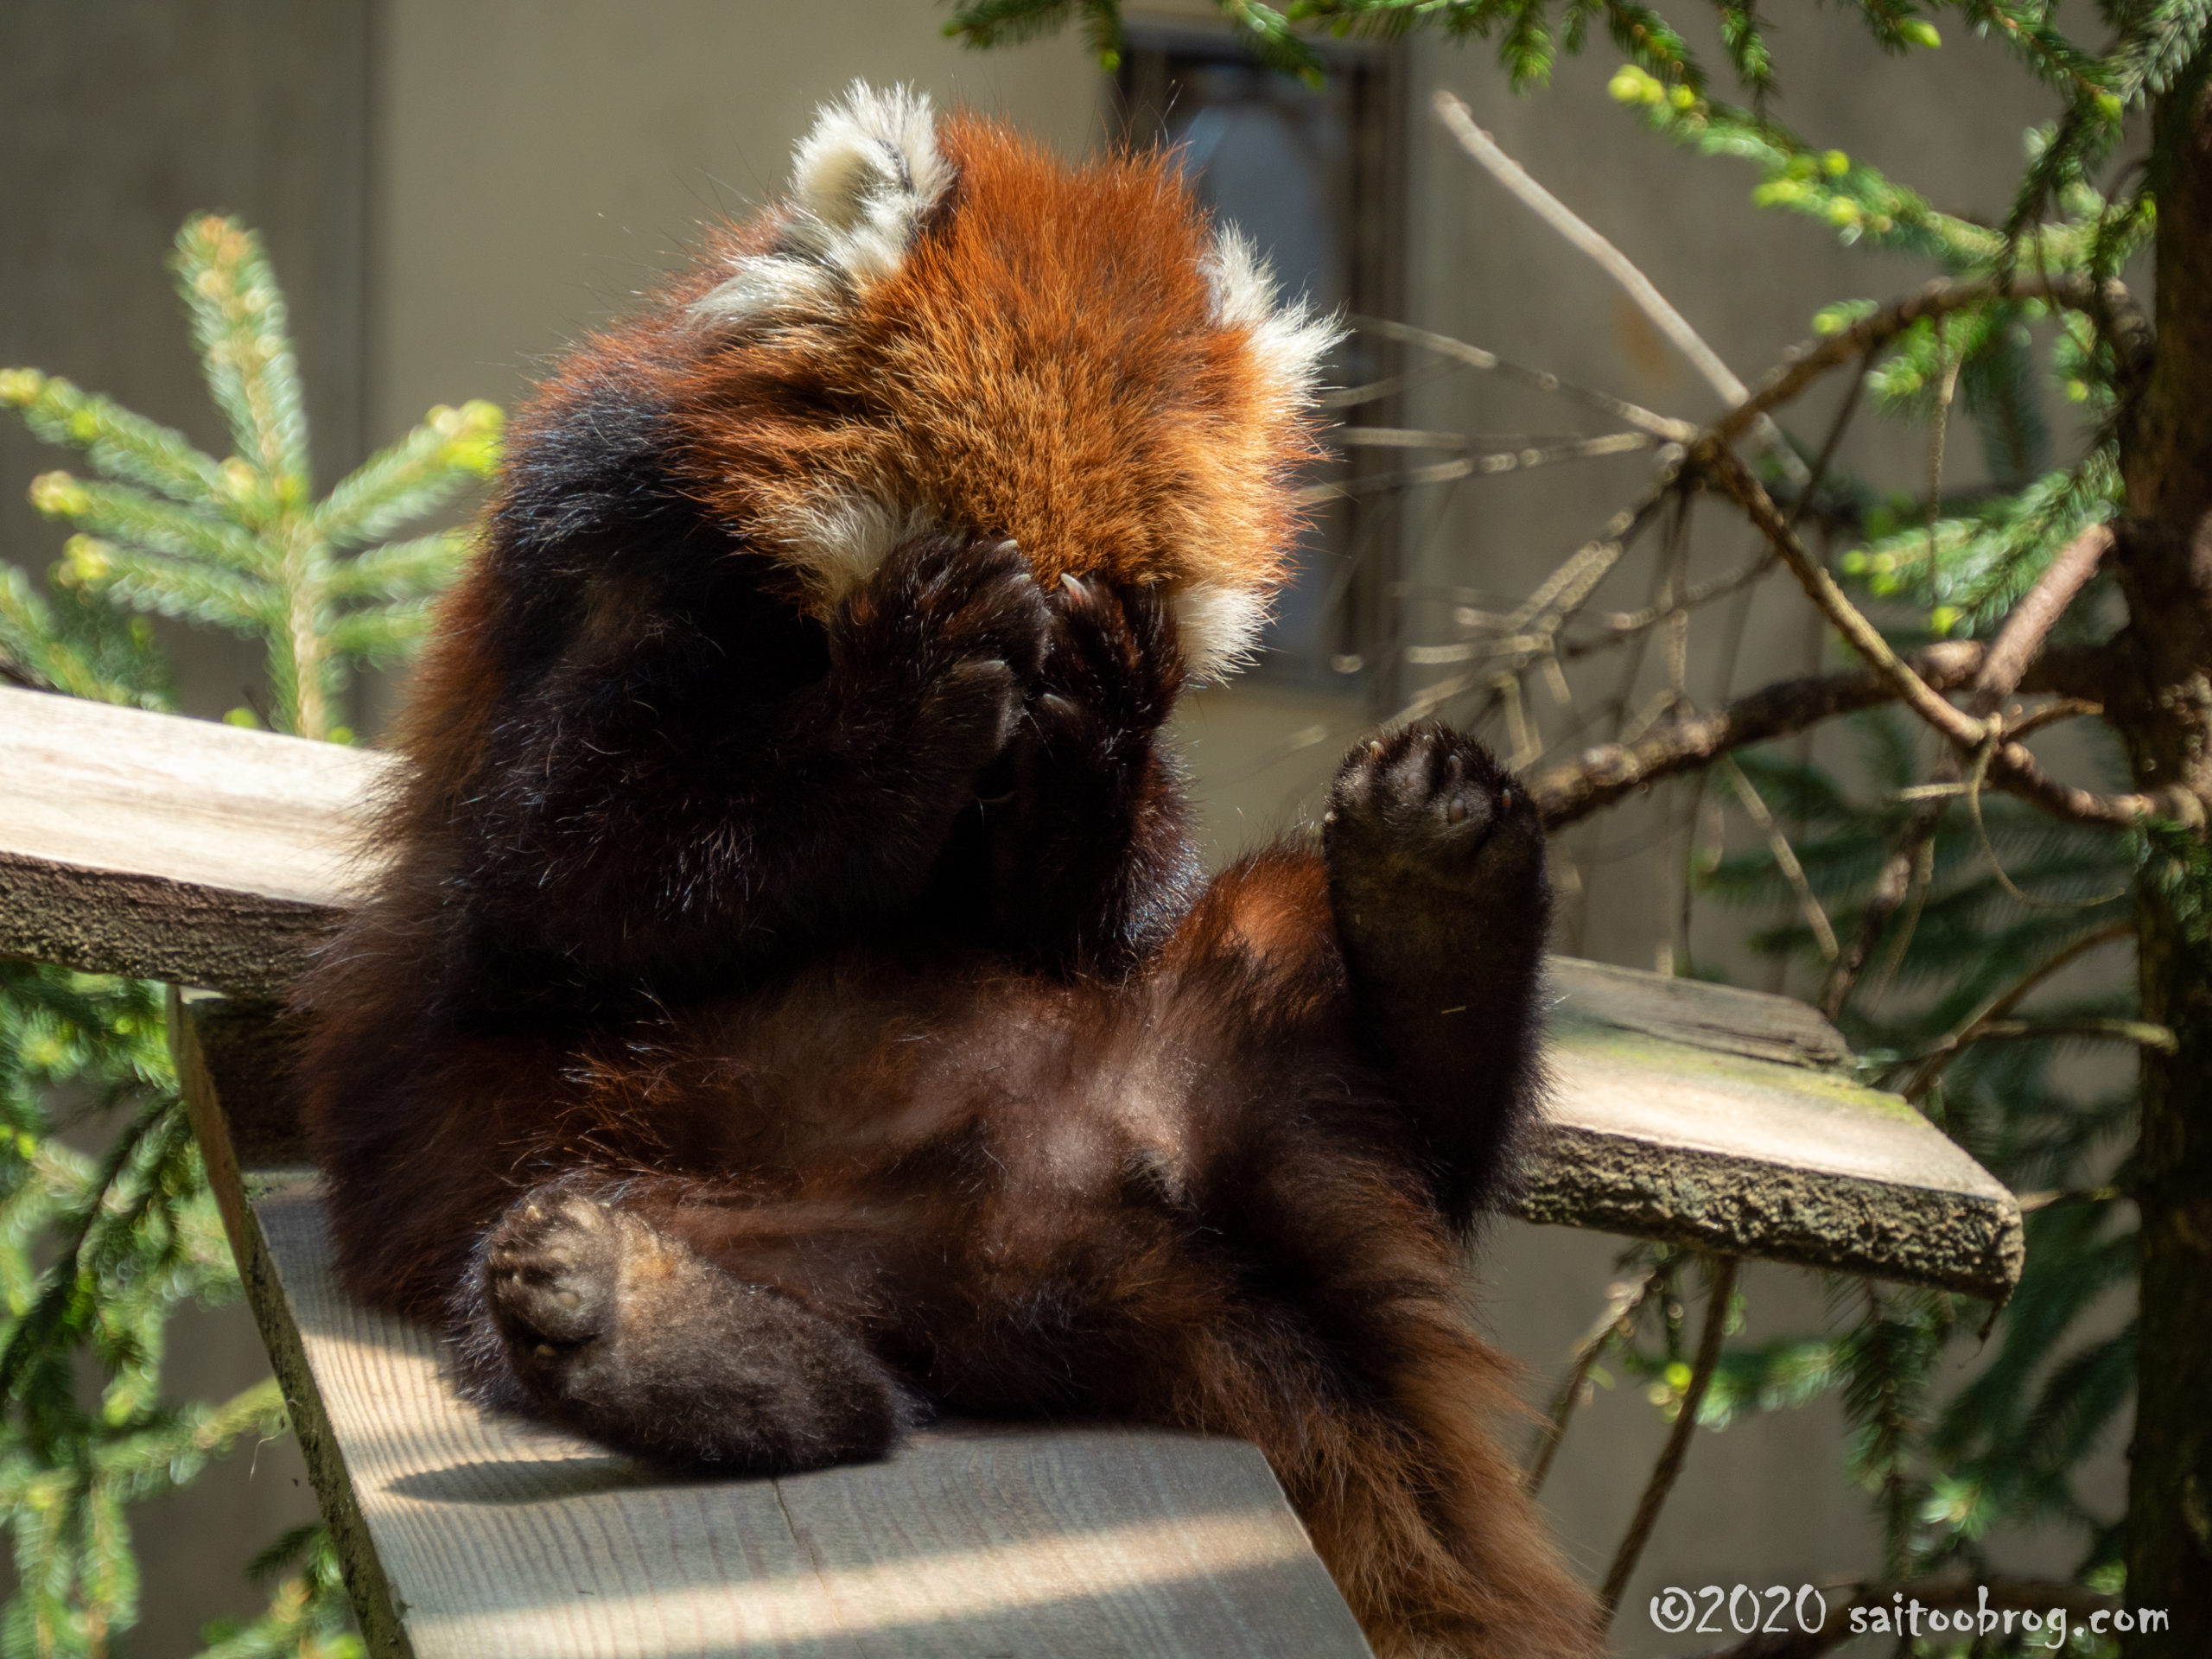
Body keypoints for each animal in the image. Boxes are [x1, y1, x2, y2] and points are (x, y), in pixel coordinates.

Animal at [294, 87, 1610, 1659]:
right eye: (976, 548)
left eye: (1124, 592)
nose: (1039, 690)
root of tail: (1130, 1189)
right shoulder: (604, 563)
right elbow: (553, 883)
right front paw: (902, 703)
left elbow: (1088, 912)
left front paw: (1099, 732)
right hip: (656, 1183)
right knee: (777, 1348)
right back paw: (642, 1323)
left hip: (1216, 1036)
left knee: (1359, 1032)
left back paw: (1434, 892)